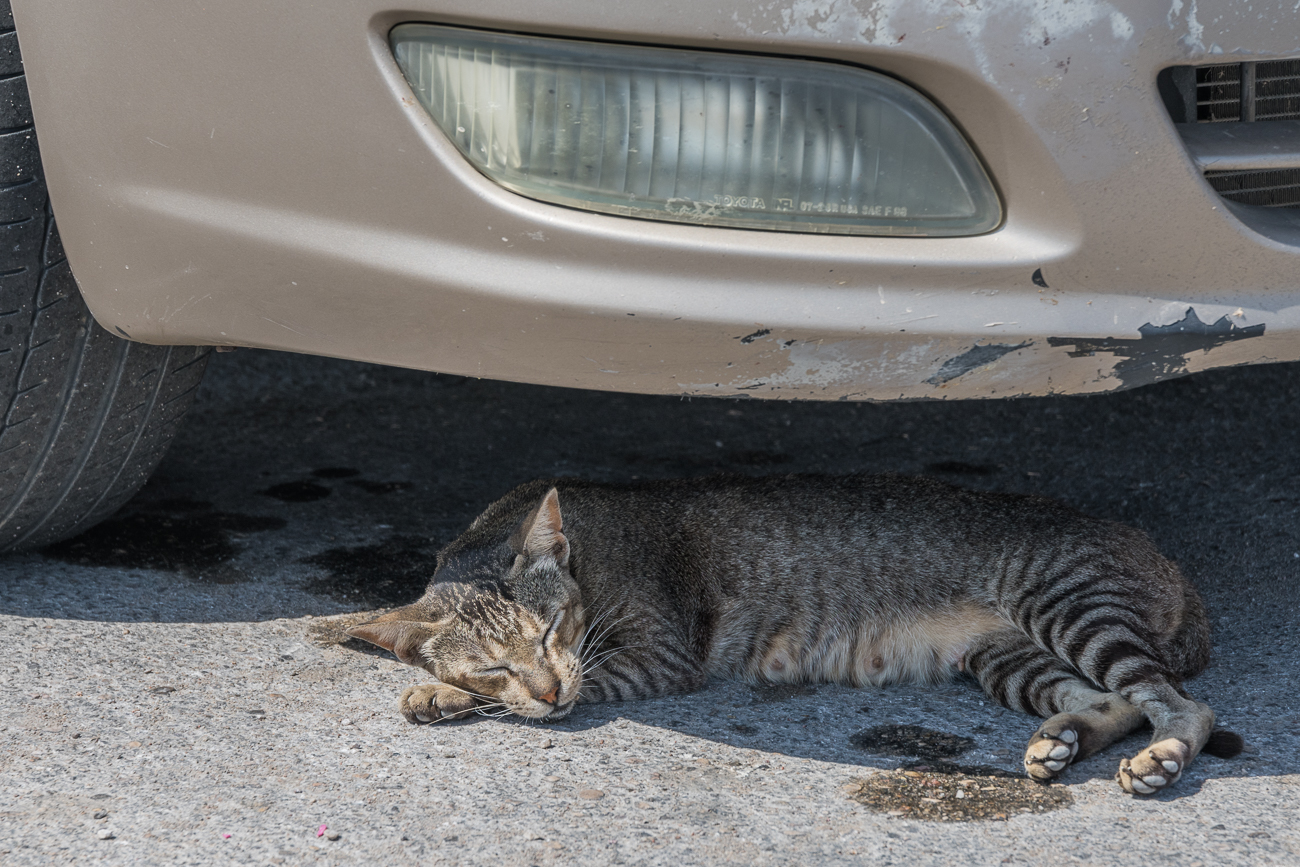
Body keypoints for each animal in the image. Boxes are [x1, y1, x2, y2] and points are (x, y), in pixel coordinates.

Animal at [345, 475, 1237, 795]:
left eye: (550, 628)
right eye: (497, 662)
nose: (546, 681)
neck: (588, 557)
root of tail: (1171, 564)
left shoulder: (656, 654)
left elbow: (590, 682)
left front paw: (435, 687)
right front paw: (441, 685)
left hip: (1069, 604)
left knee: (1180, 703)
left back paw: (1160, 760)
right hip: (1009, 655)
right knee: (1118, 700)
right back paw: (1063, 739)